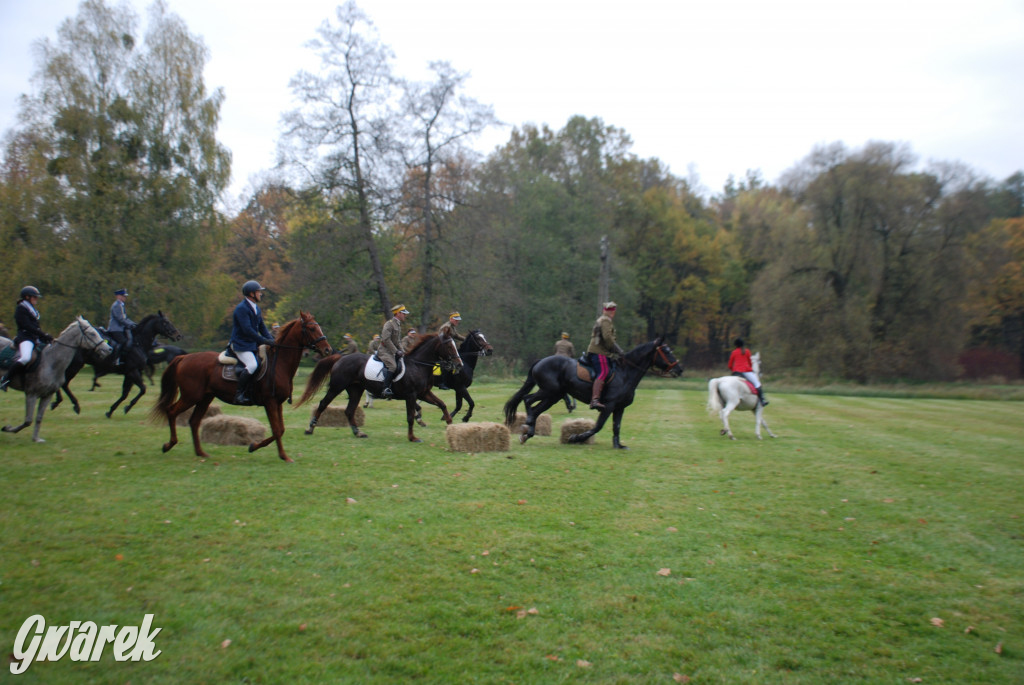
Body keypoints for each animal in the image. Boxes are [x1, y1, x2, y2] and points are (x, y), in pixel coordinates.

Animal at [51, 311, 182, 417]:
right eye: (166, 322)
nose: (178, 335)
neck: (138, 342)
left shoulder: (129, 374)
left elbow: (125, 393)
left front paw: (111, 410)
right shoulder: (132, 372)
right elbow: (142, 389)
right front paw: (127, 407)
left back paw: (57, 401)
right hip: (76, 365)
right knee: (64, 382)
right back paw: (73, 405)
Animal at [150, 313, 331, 462]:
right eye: (312, 328)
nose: (328, 349)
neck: (279, 363)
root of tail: (184, 358)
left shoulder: (277, 403)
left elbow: (280, 429)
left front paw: (256, 447)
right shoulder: (270, 402)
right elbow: (277, 430)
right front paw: (281, 455)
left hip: (205, 398)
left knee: (194, 421)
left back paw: (200, 452)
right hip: (191, 396)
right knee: (171, 411)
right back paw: (169, 444)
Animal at [299, 331, 464, 444]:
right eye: (449, 346)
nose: (459, 365)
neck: (418, 365)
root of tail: (341, 358)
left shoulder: (423, 393)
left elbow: (442, 404)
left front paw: (450, 424)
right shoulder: (411, 395)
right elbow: (410, 417)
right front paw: (412, 437)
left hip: (355, 390)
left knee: (349, 410)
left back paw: (358, 433)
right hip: (336, 387)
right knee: (323, 404)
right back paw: (310, 428)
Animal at [501, 335, 679, 448]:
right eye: (667, 351)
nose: (680, 369)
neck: (625, 372)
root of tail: (541, 361)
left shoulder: (619, 408)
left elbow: (617, 426)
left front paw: (618, 445)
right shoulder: (608, 406)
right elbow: (598, 426)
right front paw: (575, 438)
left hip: (553, 396)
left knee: (535, 408)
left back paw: (528, 432)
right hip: (549, 391)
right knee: (528, 400)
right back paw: (527, 426)